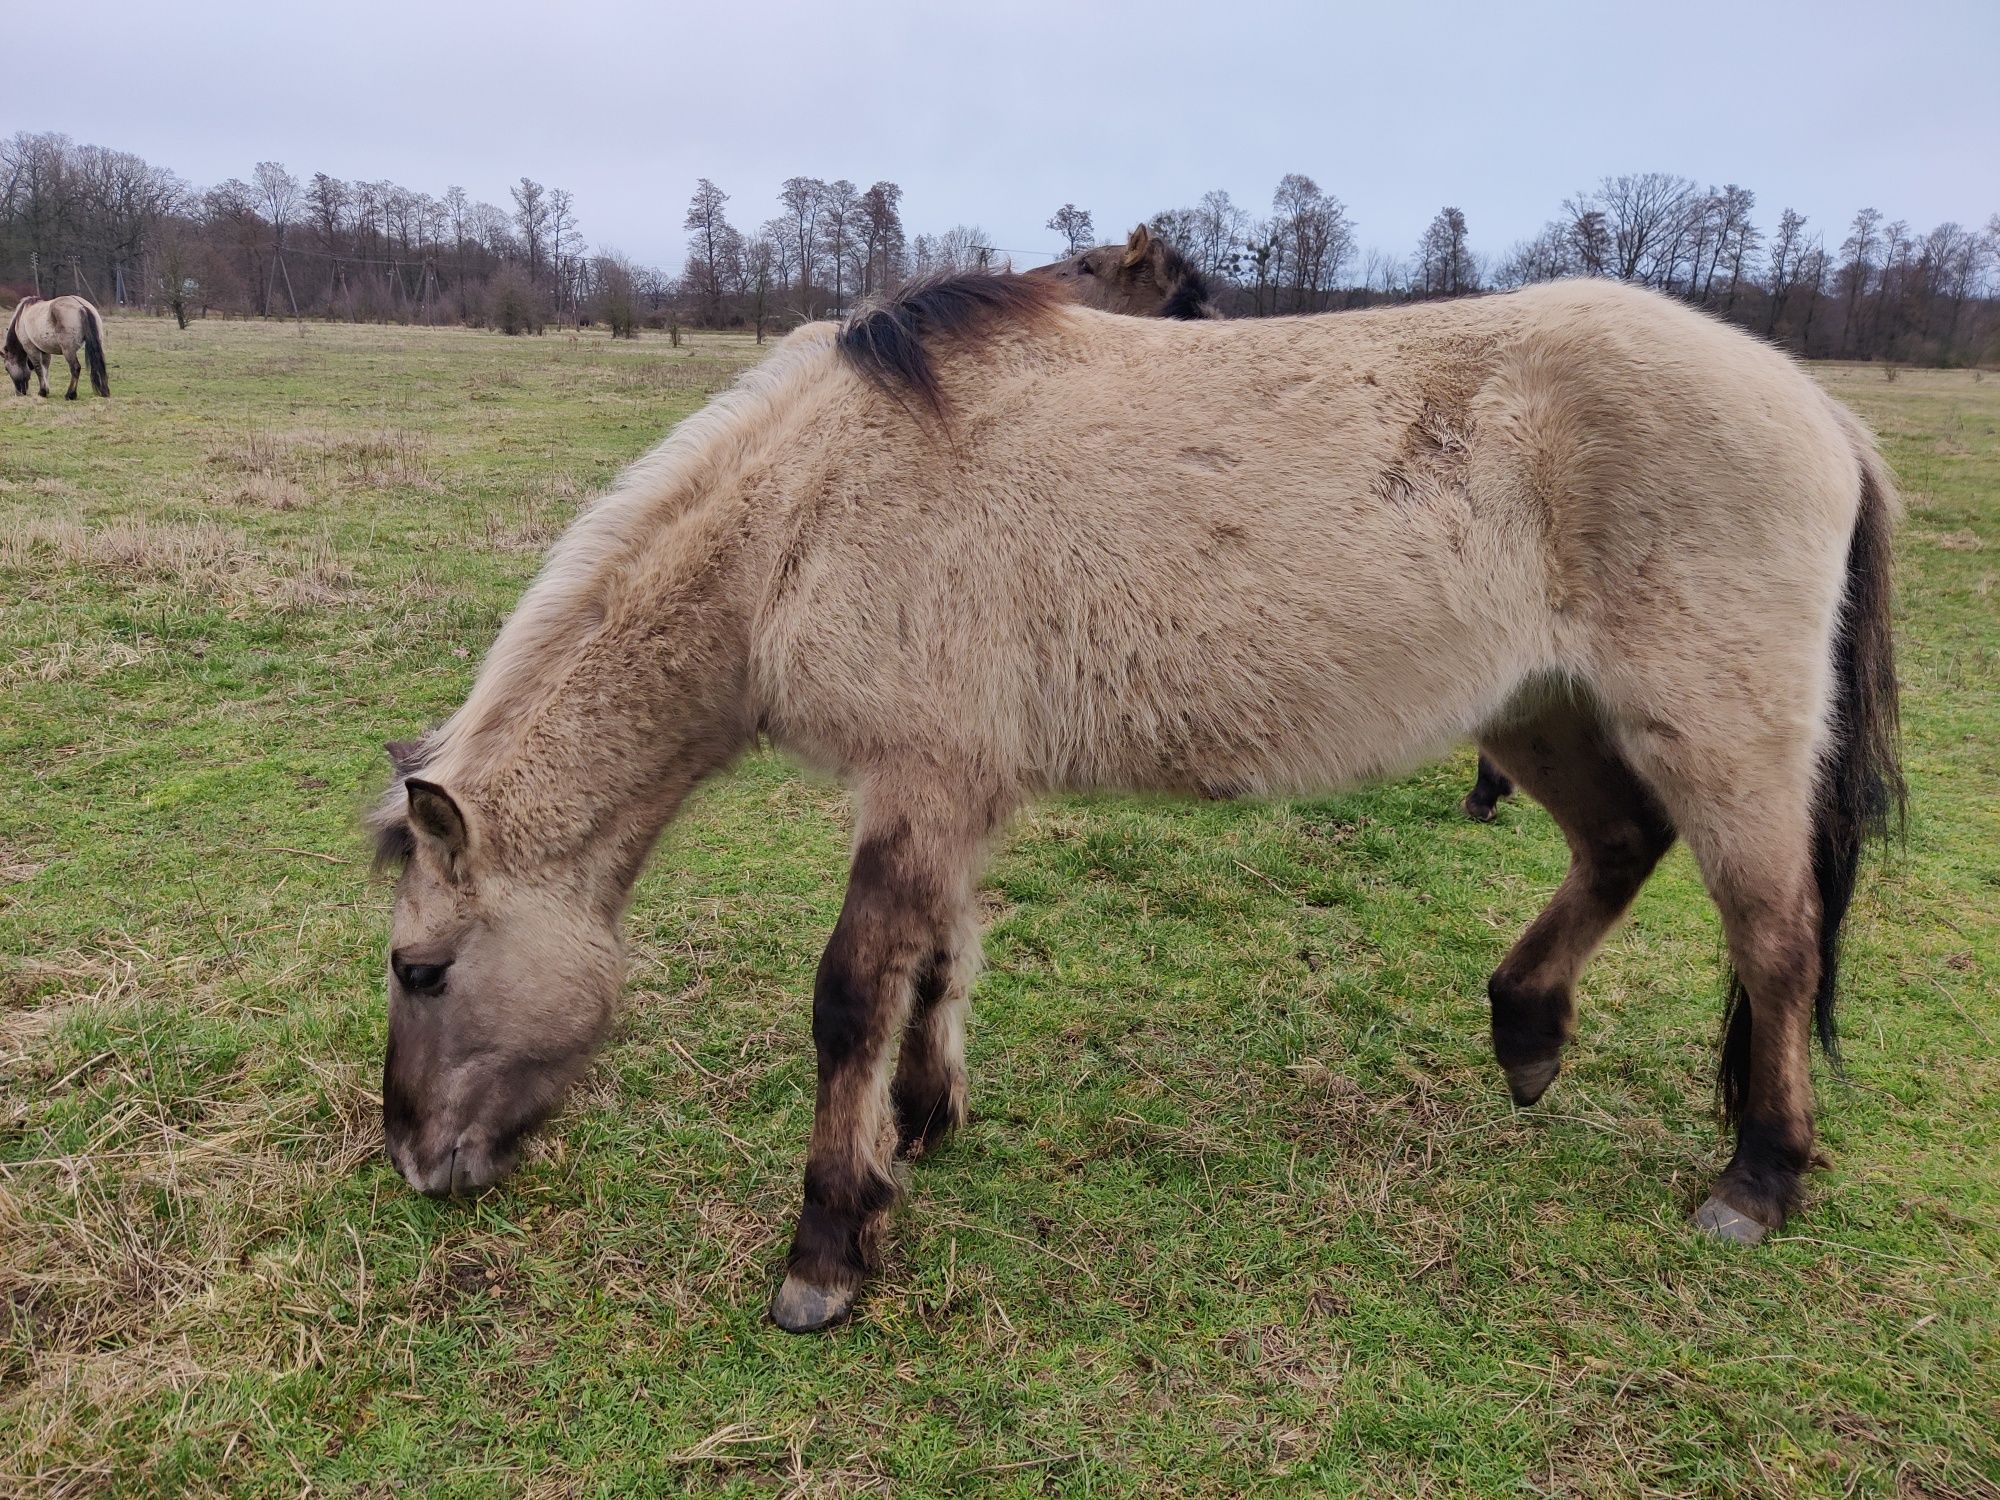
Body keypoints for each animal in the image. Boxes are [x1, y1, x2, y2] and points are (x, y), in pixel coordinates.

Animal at [372, 274, 1904, 1336]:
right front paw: (918, 1127)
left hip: (1715, 735)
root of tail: (1817, 409)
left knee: (1775, 942)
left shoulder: (920, 780)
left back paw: (1756, 1181)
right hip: (1543, 710)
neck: (813, 503)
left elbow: (853, 993)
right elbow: (942, 961)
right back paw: (1526, 1035)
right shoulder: (954, 787)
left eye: (421, 968)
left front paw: (827, 1249)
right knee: (1620, 846)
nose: (416, 1168)